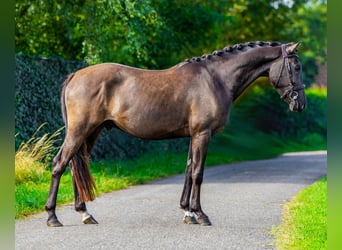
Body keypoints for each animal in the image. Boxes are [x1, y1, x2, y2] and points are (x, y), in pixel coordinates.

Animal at [46, 40, 308, 227]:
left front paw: (187, 212)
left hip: (91, 133)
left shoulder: (194, 135)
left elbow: (189, 170)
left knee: (75, 166)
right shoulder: (203, 134)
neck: (216, 79)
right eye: (296, 67)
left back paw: (85, 213)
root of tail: (75, 76)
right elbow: (198, 173)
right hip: (79, 131)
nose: (300, 104)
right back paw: (52, 217)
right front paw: (201, 214)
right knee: (59, 164)